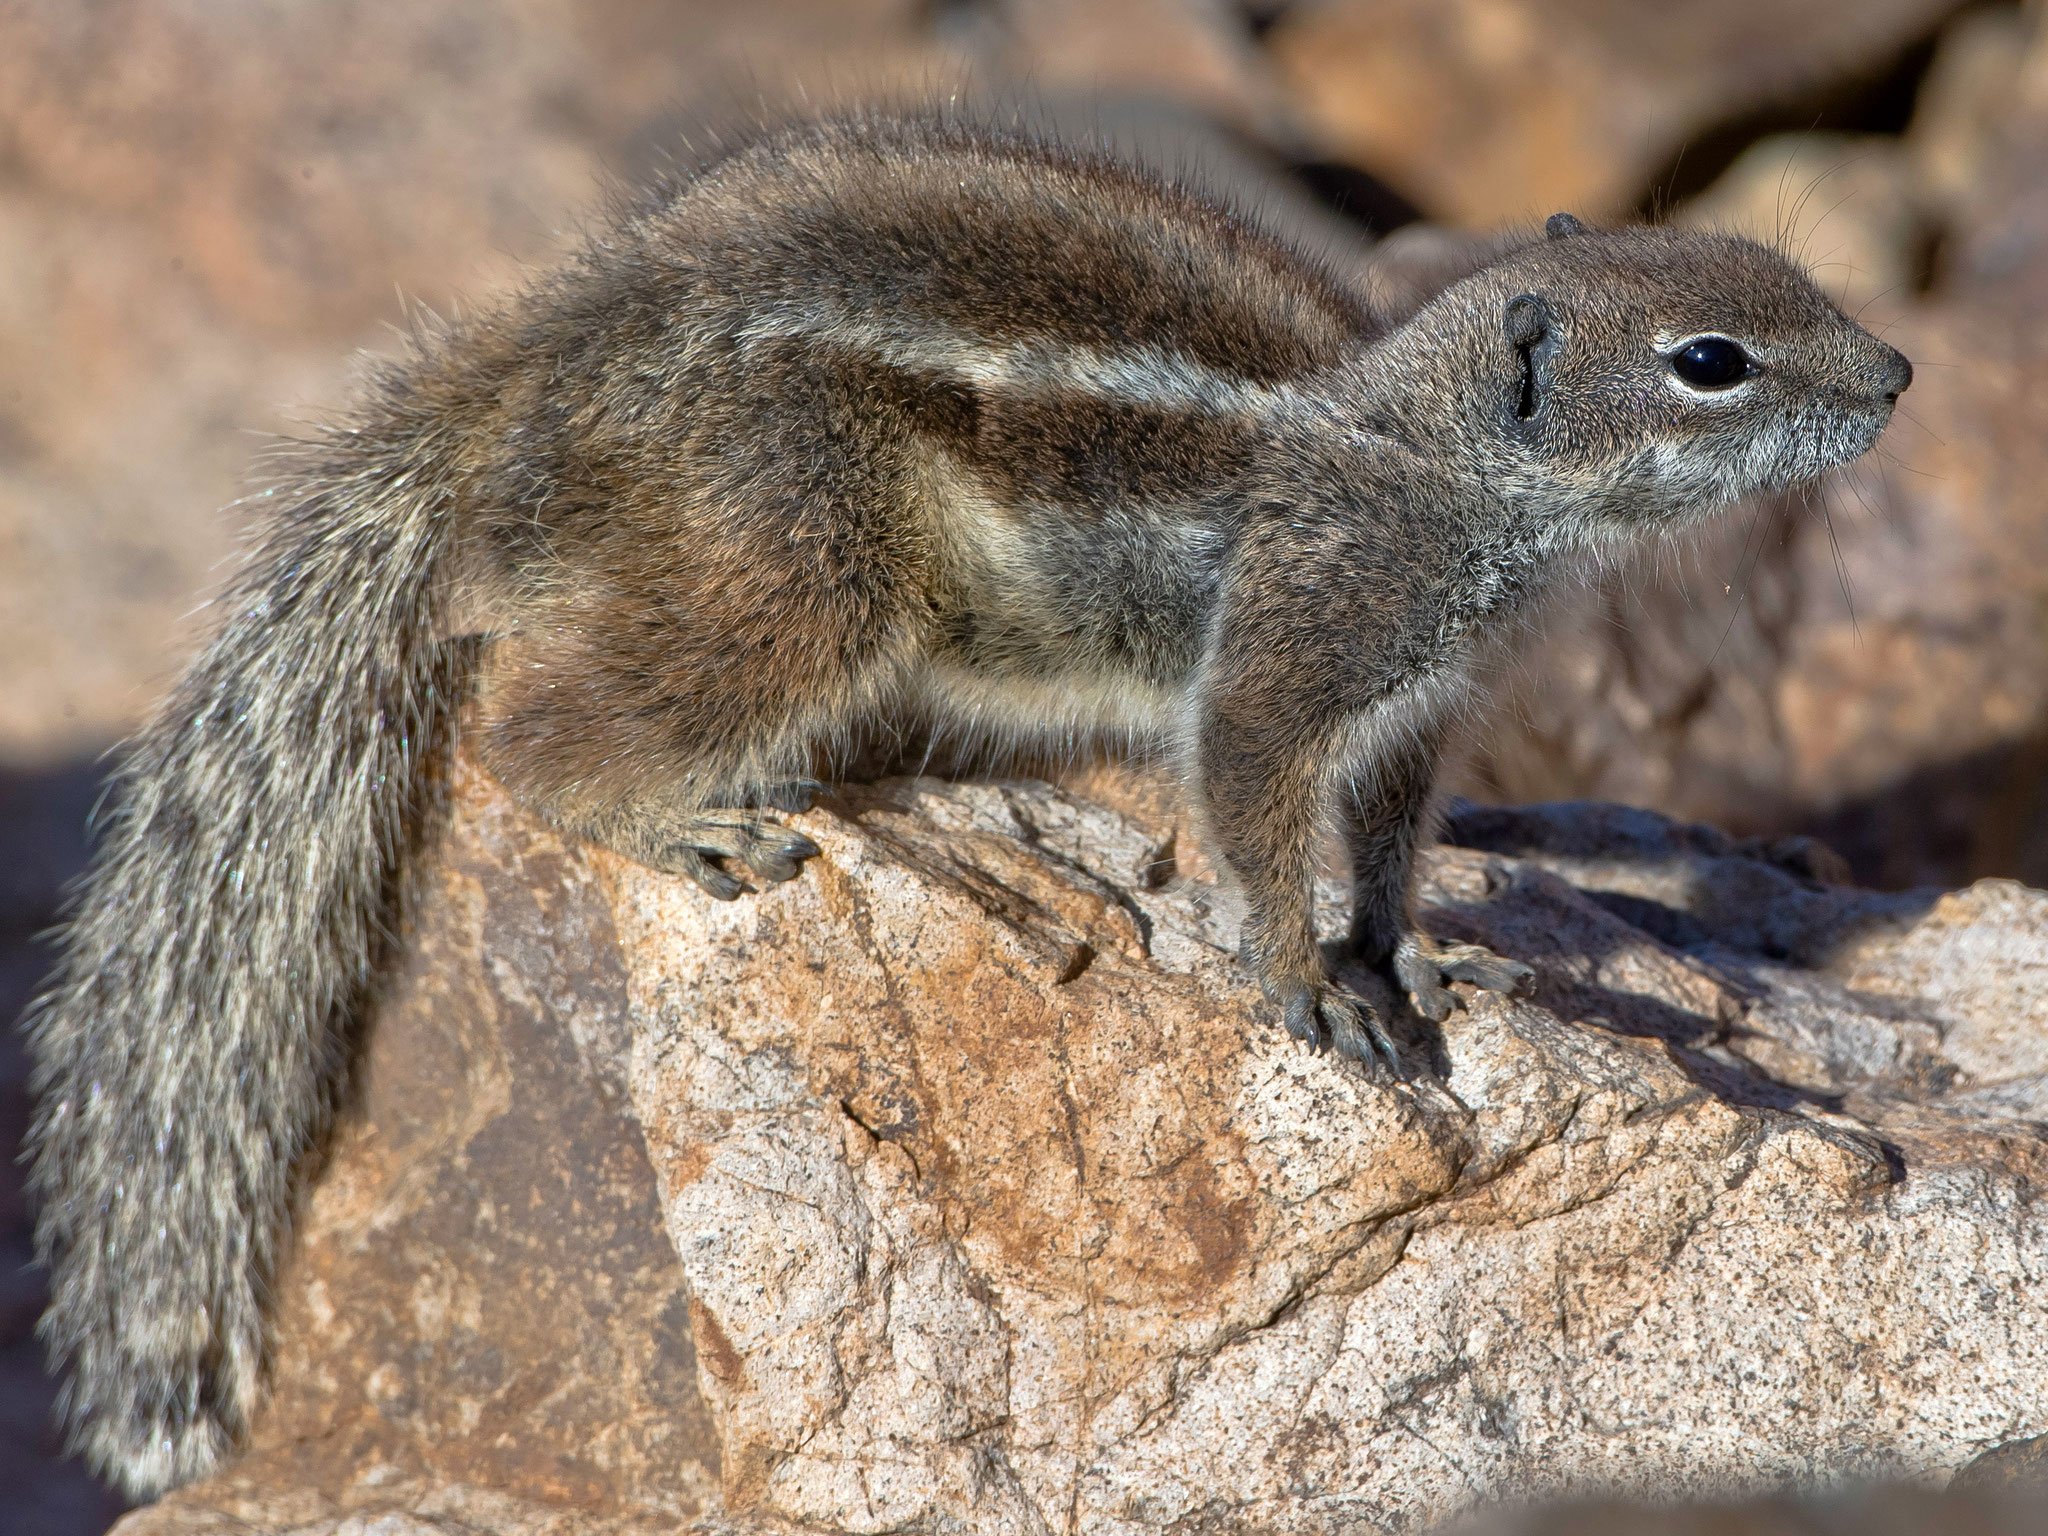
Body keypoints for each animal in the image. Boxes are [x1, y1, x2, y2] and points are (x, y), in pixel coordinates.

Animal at [24, 111, 1900, 1507]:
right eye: (1710, 361)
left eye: (1784, 275)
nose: (1890, 376)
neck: (1439, 462)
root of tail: (533, 382)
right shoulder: (1292, 655)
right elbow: (1248, 800)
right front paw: (1307, 984)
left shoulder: (1415, 718)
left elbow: (1381, 846)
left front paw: (1417, 961)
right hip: (808, 562)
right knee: (537, 729)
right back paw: (674, 820)